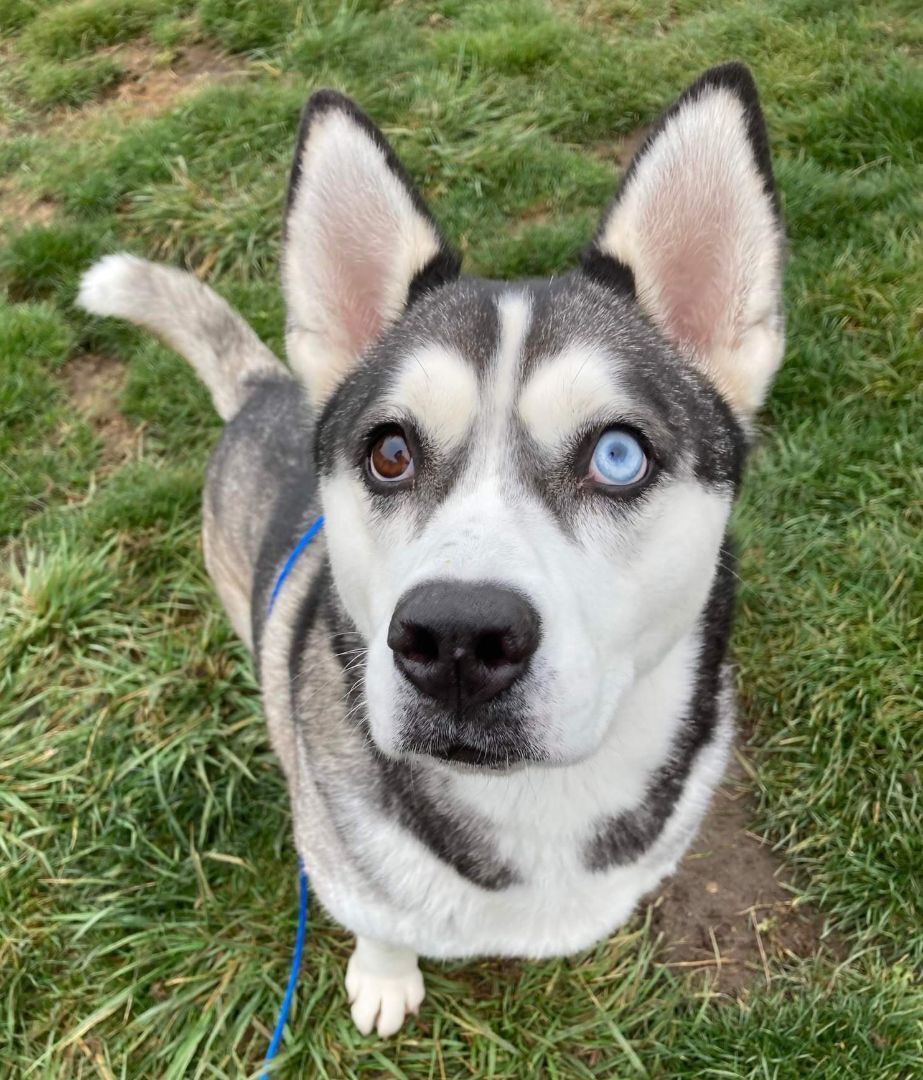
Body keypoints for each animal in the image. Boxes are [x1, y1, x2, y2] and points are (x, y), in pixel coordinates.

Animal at [80, 61, 785, 1036]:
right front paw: (384, 980)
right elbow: (380, 920)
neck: (532, 802)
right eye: (389, 452)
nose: (455, 637)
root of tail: (267, 388)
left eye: (618, 455)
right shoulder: (336, 854)